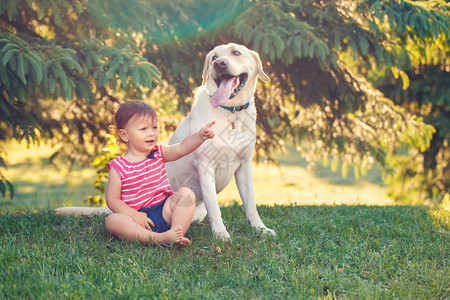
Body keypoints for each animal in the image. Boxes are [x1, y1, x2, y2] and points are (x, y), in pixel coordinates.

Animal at [56, 42, 274, 239]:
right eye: (213, 57)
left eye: (236, 53)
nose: (219, 64)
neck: (229, 112)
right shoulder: (205, 166)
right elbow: (215, 206)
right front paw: (220, 233)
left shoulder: (244, 165)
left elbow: (250, 204)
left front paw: (260, 229)